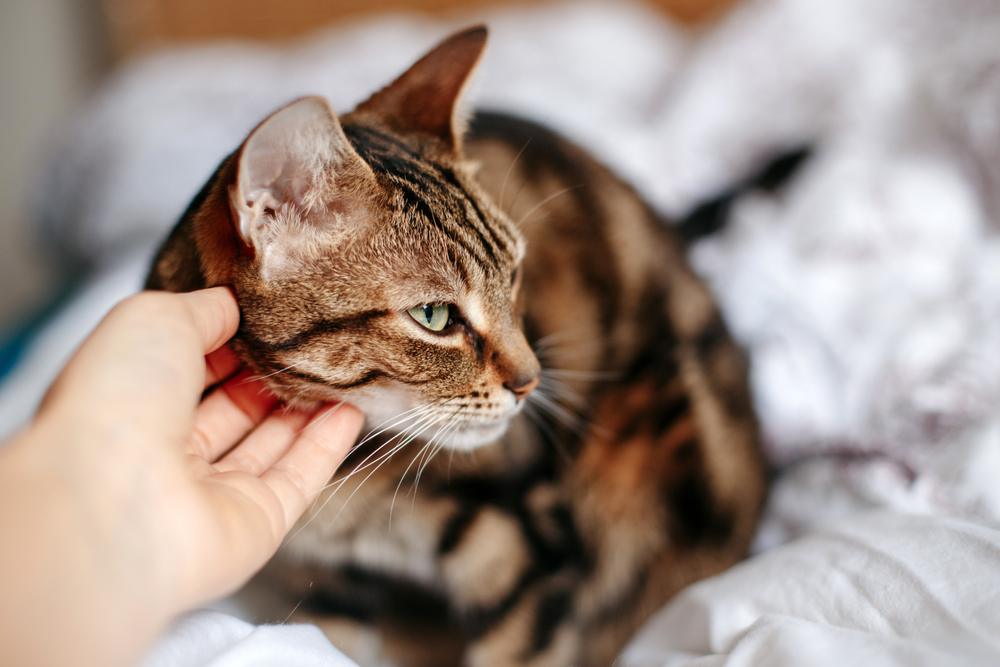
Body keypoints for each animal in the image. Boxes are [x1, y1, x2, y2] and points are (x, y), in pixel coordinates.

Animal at [146, 24, 772, 667]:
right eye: (434, 316)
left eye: (515, 275)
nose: (531, 381)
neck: (346, 495)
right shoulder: (318, 584)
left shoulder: (532, 550)